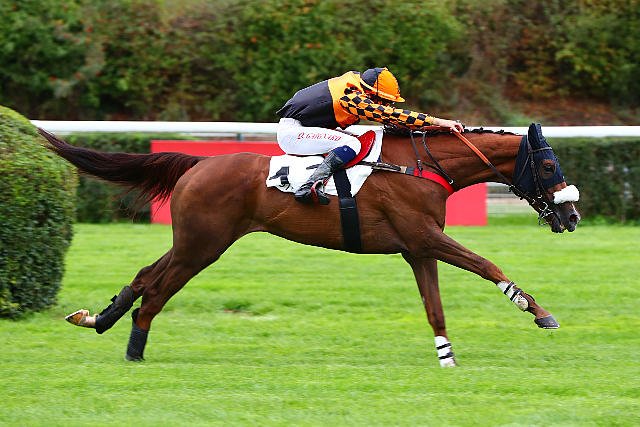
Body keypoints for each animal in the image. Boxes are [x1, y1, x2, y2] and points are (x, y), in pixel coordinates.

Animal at [38, 123, 580, 367]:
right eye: (548, 166)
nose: (571, 216)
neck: (421, 166)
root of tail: (198, 162)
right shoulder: (425, 235)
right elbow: (487, 264)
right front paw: (539, 311)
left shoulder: (418, 248)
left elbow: (434, 307)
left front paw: (446, 357)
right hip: (203, 246)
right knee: (156, 291)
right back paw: (134, 347)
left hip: (196, 239)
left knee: (145, 276)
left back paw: (98, 319)